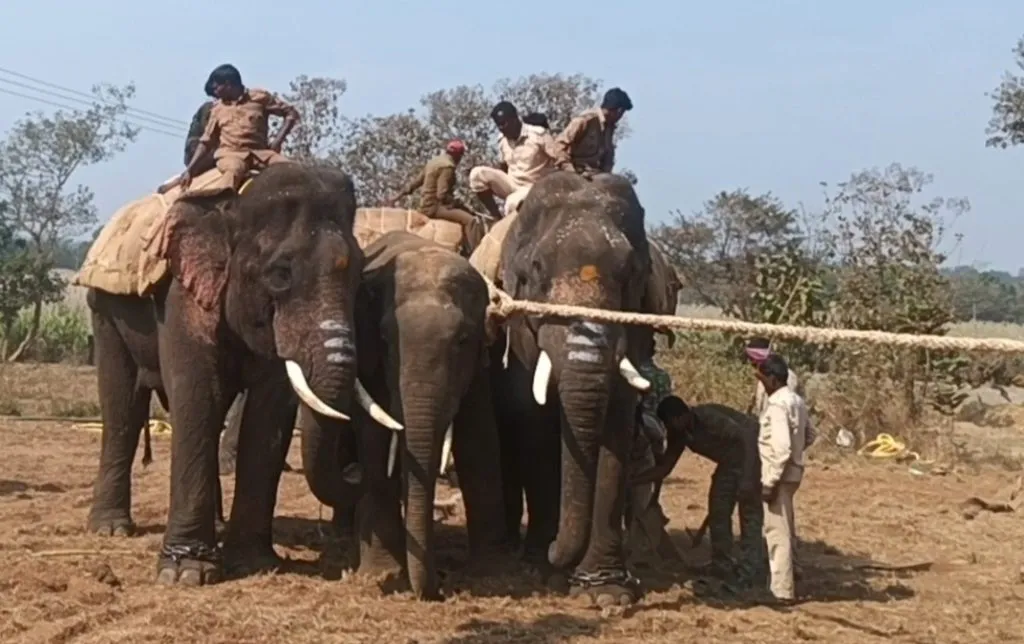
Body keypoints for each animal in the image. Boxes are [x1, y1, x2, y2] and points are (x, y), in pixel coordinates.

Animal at [85, 163, 400, 586]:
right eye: (280, 275)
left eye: (359, 281)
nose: (356, 467)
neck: (233, 205)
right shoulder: (182, 290)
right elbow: (198, 393)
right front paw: (186, 573)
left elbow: (270, 411)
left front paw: (254, 563)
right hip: (104, 309)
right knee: (123, 407)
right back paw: (111, 529)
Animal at [305, 230, 506, 600]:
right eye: (385, 339)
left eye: (463, 340)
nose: (438, 587)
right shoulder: (370, 359)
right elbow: (374, 440)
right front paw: (384, 573)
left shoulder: (477, 370)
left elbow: (479, 442)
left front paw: (492, 574)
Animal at [488, 170, 653, 605]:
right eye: (536, 270)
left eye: (631, 273)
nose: (551, 549)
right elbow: (531, 420)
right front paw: (544, 570)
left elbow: (617, 423)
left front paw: (607, 594)